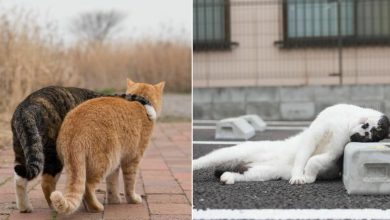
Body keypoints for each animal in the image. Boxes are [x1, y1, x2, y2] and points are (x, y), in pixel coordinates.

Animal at [11, 85, 154, 212]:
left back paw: (25, 208)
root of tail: (25, 109)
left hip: (24, 150)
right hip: (54, 156)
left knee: (19, 179)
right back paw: (56, 207)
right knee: (48, 183)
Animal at [49, 79, 165, 215]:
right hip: (105, 162)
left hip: (85, 165)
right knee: (87, 187)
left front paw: (114, 200)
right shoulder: (132, 159)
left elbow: (112, 184)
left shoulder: (117, 164)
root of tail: (74, 132)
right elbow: (130, 183)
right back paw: (96, 207)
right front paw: (133, 199)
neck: (140, 104)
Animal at [193, 104, 388, 185]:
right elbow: (305, 156)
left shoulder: (335, 151)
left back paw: (229, 178)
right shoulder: (316, 133)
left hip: (261, 173)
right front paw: (299, 176)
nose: (363, 133)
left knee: (241, 175)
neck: (345, 122)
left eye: (371, 137)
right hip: (233, 153)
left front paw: (307, 177)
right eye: (369, 128)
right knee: (205, 160)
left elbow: (315, 161)